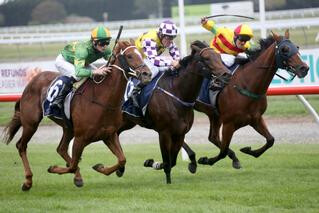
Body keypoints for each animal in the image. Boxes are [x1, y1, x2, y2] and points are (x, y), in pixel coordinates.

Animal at [2, 40, 152, 191]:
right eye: (129, 56)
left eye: (141, 53)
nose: (147, 74)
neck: (102, 100)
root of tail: (32, 81)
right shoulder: (80, 138)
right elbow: (73, 165)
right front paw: (53, 168)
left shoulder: (109, 135)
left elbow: (122, 159)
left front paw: (100, 167)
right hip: (31, 123)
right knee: (21, 146)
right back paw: (28, 181)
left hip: (68, 128)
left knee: (61, 149)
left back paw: (76, 177)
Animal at [116, 40, 231, 184]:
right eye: (206, 58)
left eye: (219, 57)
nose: (227, 74)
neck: (177, 93)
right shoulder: (164, 133)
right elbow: (167, 162)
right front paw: (164, 177)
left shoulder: (180, 132)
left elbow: (172, 160)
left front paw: (155, 164)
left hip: (127, 123)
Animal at [182, 30, 310, 170]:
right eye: (284, 49)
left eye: (297, 47)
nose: (304, 68)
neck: (246, 84)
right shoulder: (229, 123)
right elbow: (223, 151)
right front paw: (206, 160)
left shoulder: (255, 118)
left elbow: (270, 140)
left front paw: (248, 150)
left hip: (213, 114)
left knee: (213, 137)